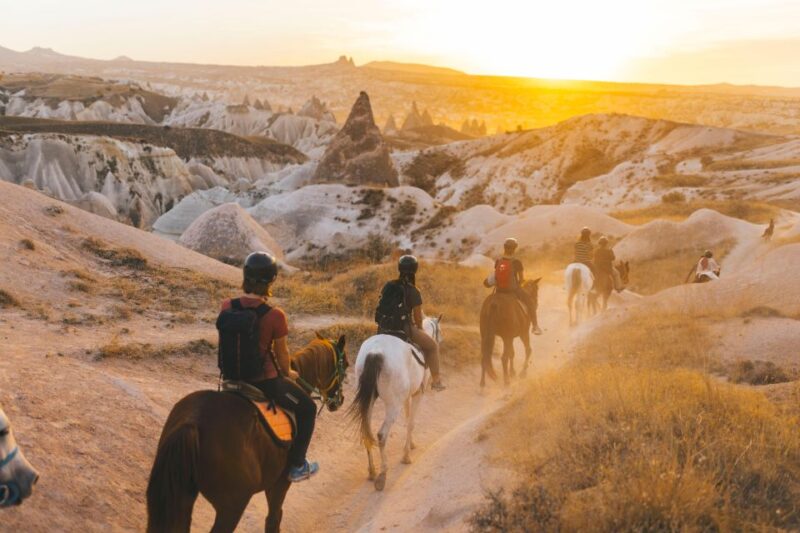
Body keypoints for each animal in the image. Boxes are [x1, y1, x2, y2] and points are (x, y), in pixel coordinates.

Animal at [146, 335, 348, 533]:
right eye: (345, 365)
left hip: (183, 497)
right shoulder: (280, 482)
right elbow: (273, 519)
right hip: (232, 505)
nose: (340, 400)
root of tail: (192, 422)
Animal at [349, 316, 442, 492]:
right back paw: (382, 475)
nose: (441, 340)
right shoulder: (418, 393)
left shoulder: (405, 397)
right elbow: (411, 422)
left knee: (366, 430)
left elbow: (407, 418)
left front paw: (410, 444)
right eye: (439, 330)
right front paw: (406, 456)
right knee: (381, 435)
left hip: (370, 400)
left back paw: (372, 471)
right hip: (392, 405)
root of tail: (375, 353)